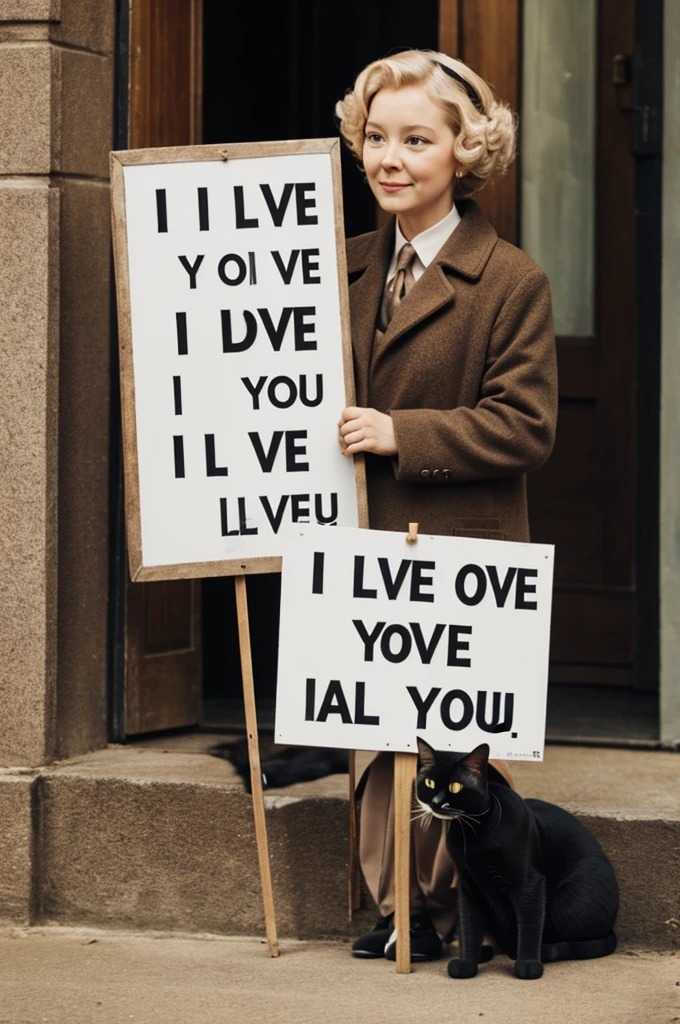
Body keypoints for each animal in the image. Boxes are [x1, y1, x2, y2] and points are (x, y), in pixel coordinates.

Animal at [413, 741, 622, 978]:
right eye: (429, 782)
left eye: (455, 787)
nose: (436, 802)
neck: (472, 833)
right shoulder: (469, 886)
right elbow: (469, 926)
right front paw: (466, 963)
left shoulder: (529, 884)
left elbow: (529, 924)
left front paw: (528, 965)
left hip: (567, 905)